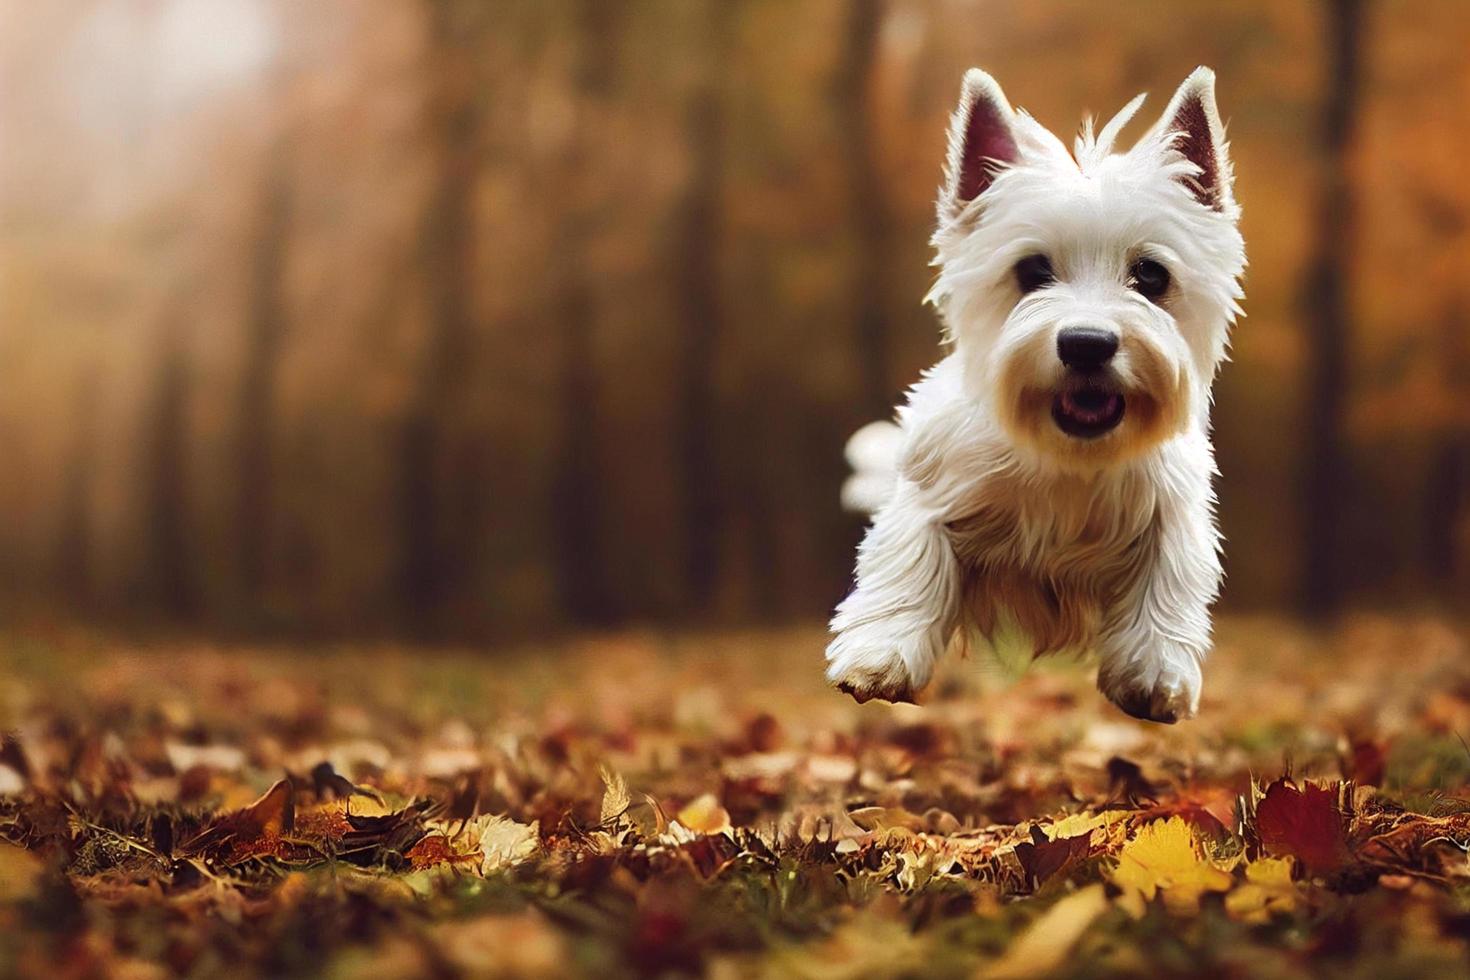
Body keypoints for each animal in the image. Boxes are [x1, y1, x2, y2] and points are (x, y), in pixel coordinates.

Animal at [829, 67, 1240, 719]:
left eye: (1151, 275)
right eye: (1032, 271)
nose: (1086, 343)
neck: (1066, 455)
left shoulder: (1171, 503)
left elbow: (1168, 576)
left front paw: (1156, 671)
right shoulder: (932, 483)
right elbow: (910, 557)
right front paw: (881, 653)